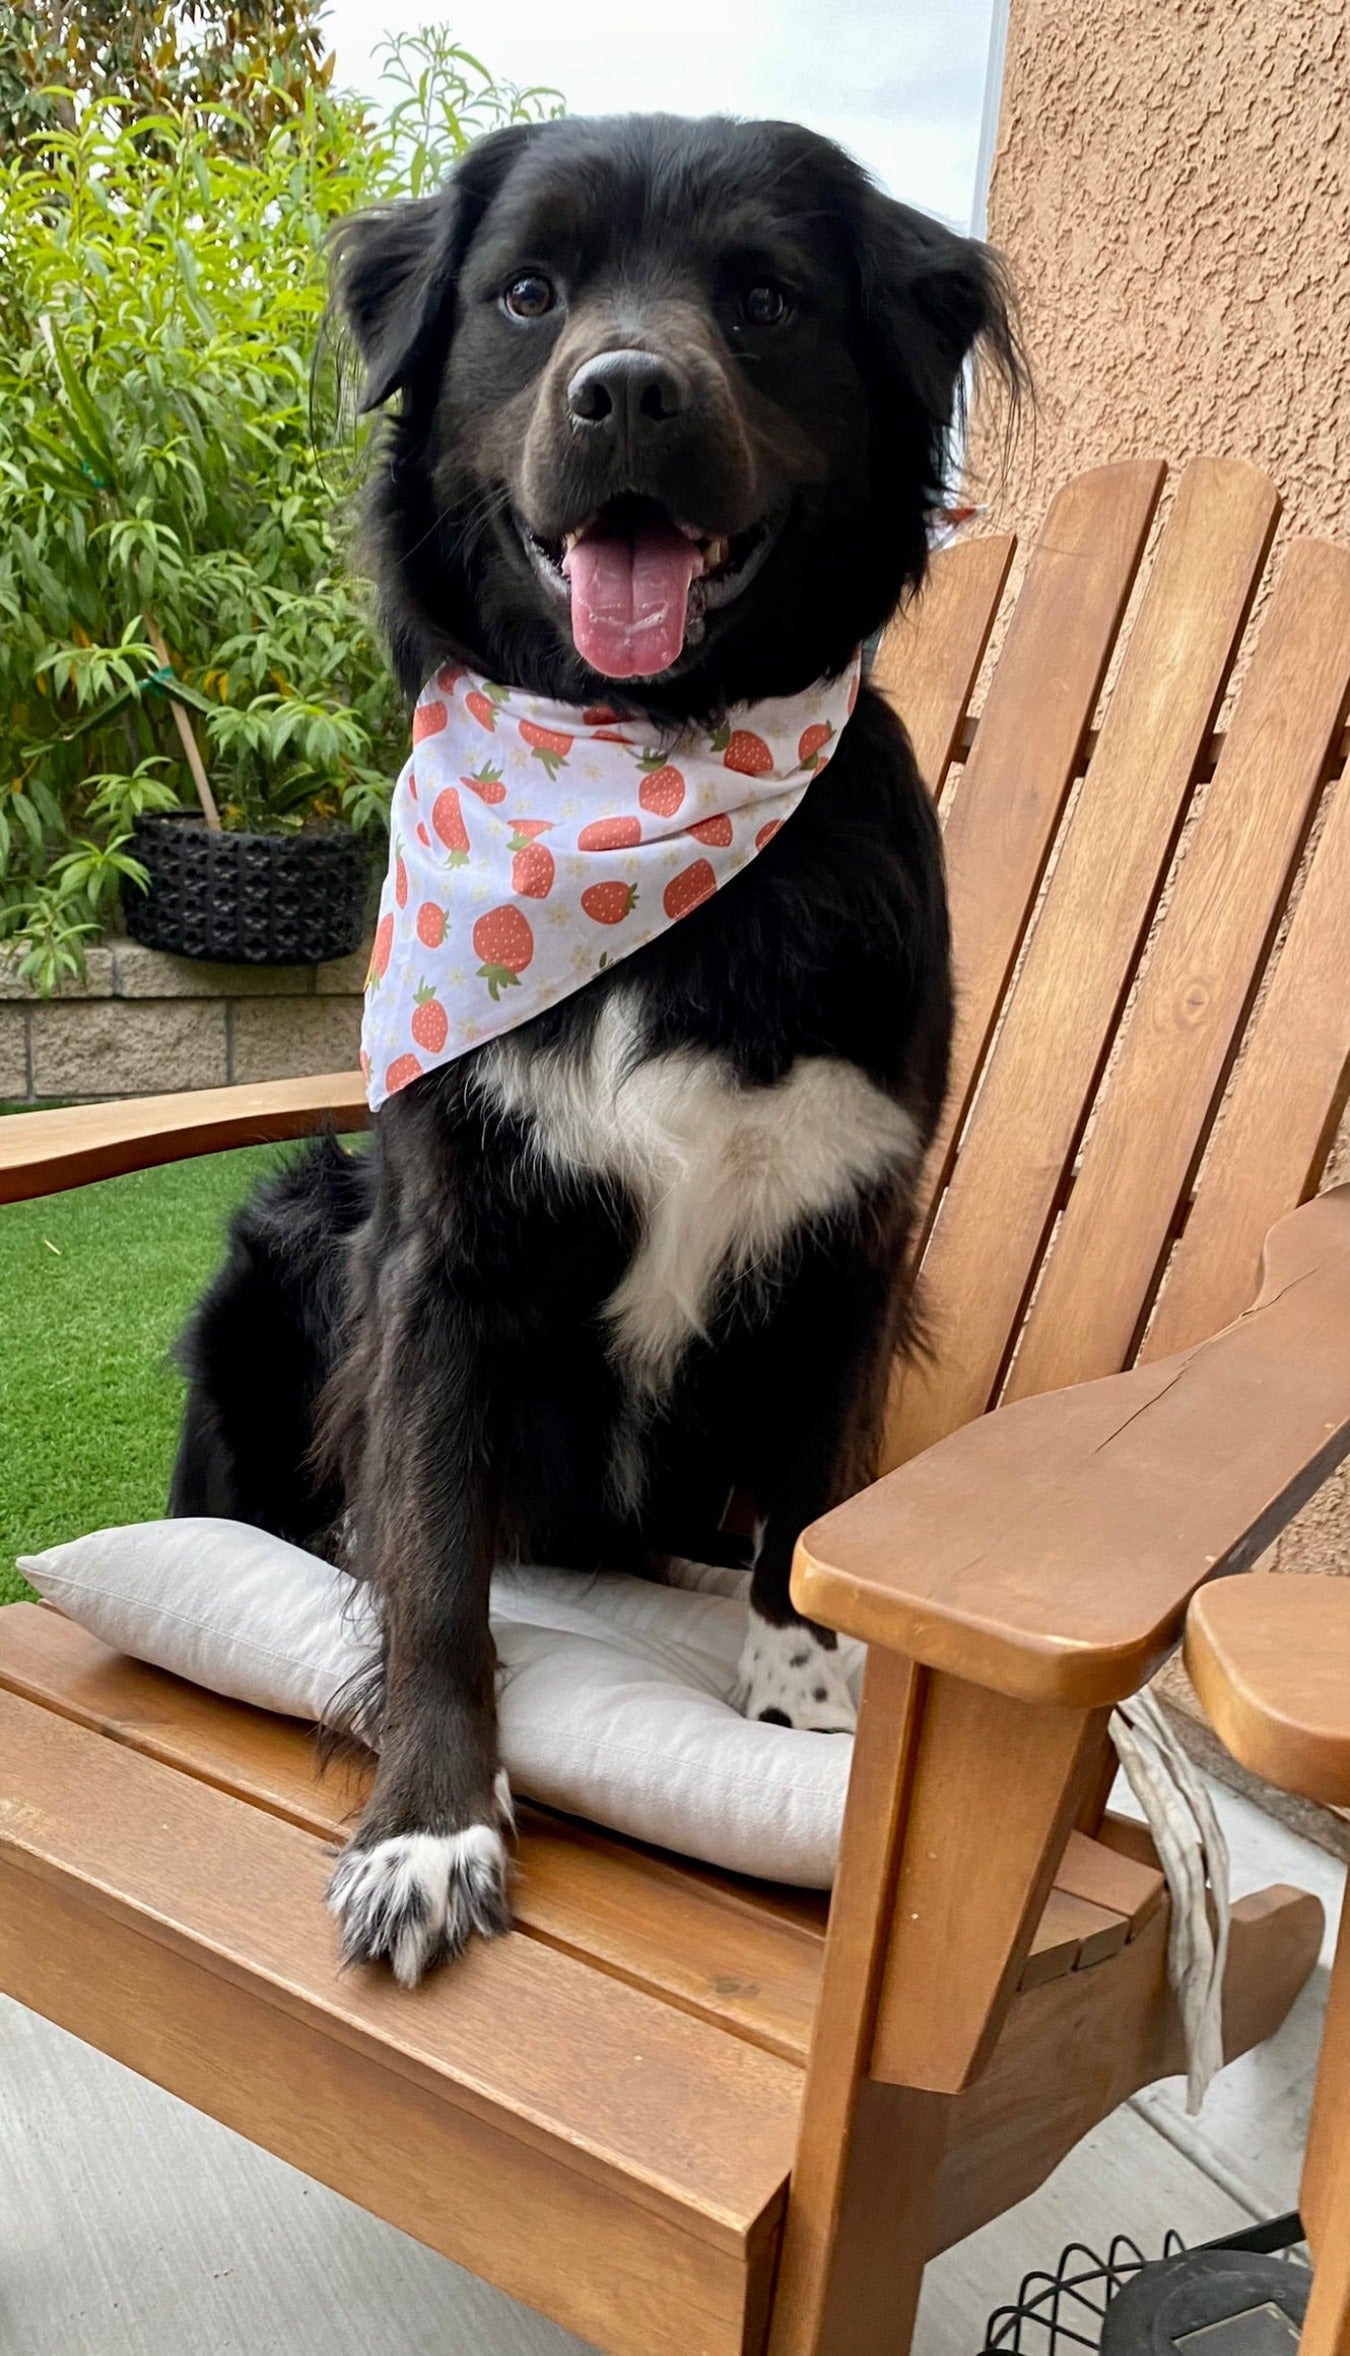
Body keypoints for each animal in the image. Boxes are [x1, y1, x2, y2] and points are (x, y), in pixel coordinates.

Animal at [173, 114, 1017, 1988]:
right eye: (528, 292)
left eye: (764, 298)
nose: (627, 392)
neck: (644, 769)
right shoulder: (437, 1251)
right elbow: (431, 1565)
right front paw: (429, 1822)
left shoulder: (848, 1240)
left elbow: (806, 1511)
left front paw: (800, 1706)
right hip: (284, 1245)